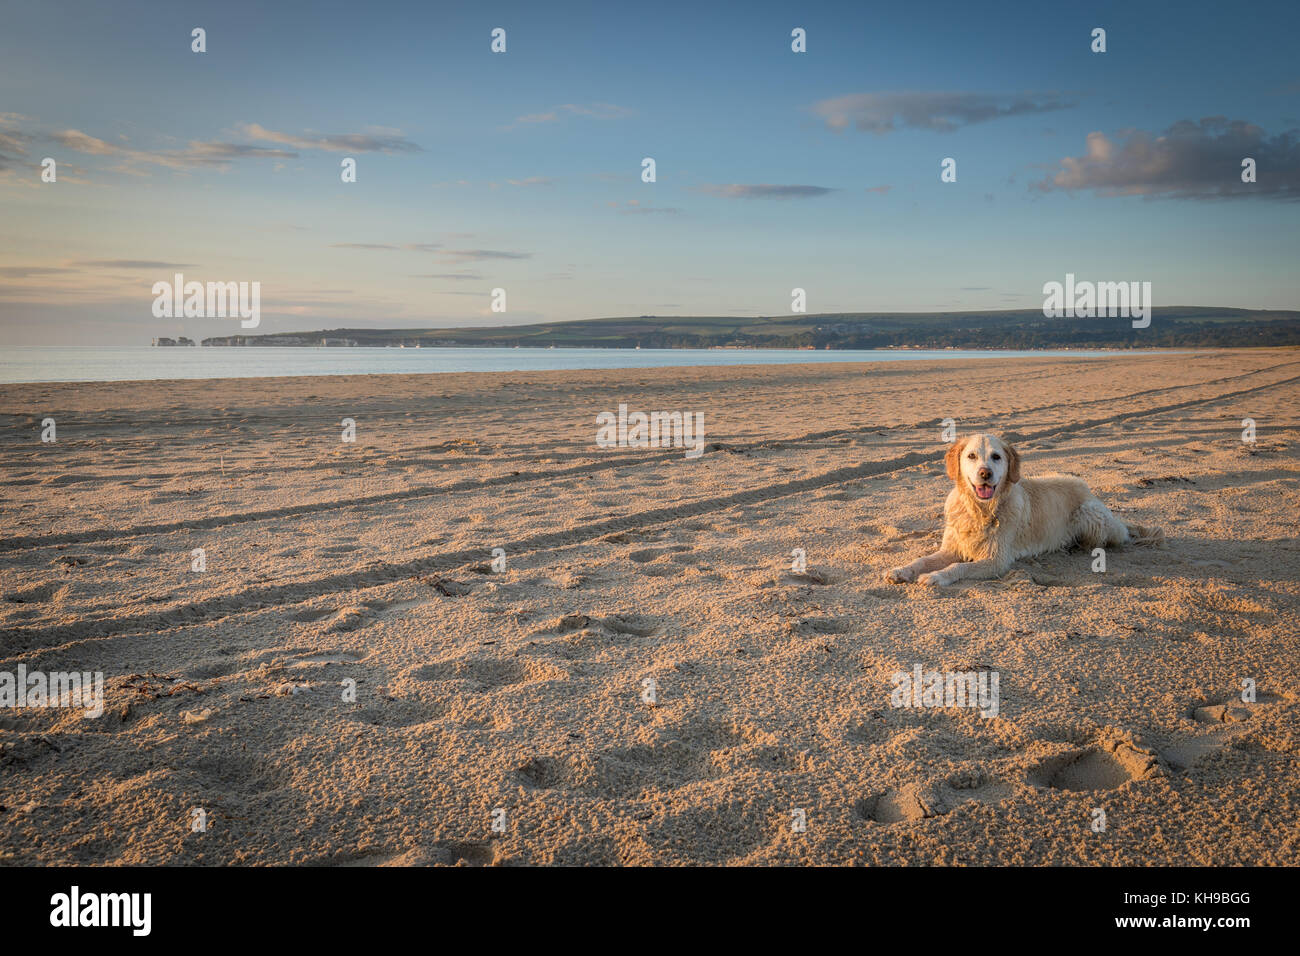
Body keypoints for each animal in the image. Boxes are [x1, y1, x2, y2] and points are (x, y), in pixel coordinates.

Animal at [889, 431, 1164, 582]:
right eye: (971, 456)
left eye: (996, 457)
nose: (985, 473)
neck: (980, 510)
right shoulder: (951, 548)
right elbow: (922, 560)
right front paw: (901, 570)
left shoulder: (996, 560)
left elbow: (957, 567)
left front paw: (936, 576)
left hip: (1089, 514)